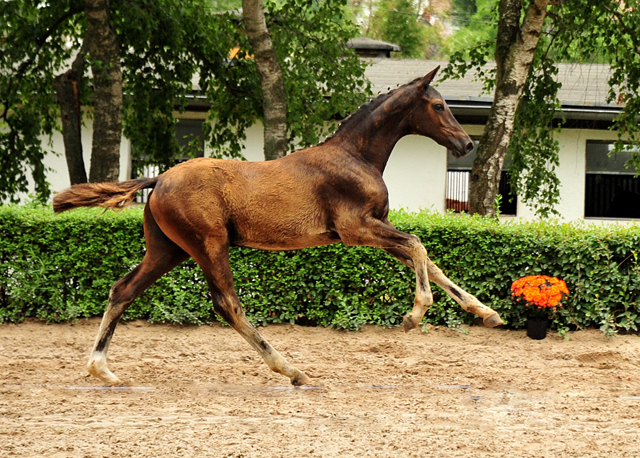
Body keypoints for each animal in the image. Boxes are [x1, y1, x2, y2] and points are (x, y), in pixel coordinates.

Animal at [53, 66, 504, 384]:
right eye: (438, 106)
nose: (466, 143)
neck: (354, 157)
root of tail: (159, 179)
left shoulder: (374, 227)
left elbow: (427, 260)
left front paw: (486, 312)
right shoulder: (357, 229)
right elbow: (417, 245)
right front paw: (415, 315)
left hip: (169, 250)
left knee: (123, 290)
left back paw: (102, 370)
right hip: (208, 245)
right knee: (228, 304)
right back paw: (292, 370)